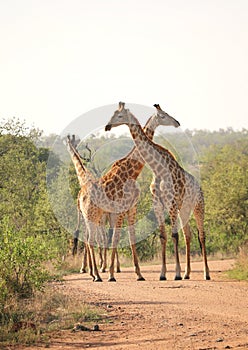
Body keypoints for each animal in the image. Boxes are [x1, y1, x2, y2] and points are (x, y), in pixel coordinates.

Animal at [66, 135, 140, 282]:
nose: (72, 147)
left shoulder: (88, 216)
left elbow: (90, 238)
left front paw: (88, 269)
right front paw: (93, 268)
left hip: (103, 217)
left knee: (103, 237)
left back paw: (103, 269)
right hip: (108, 216)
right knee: (109, 236)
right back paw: (113, 268)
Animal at [104, 100, 209, 278]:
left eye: (119, 115)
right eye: (113, 114)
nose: (107, 126)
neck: (158, 169)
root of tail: (200, 187)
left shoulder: (171, 203)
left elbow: (174, 235)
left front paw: (176, 274)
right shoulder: (158, 204)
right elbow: (162, 236)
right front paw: (163, 274)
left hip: (197, 207)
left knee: (201, 236)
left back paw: (205, 274)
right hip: (184, 209)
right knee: (188, 234)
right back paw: (187, 273)